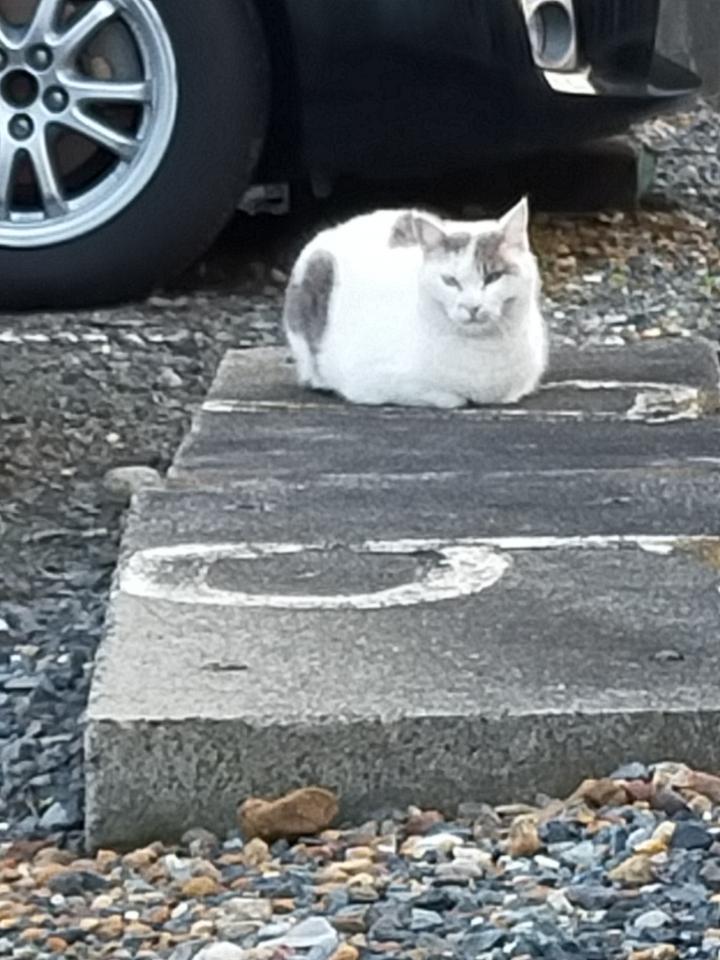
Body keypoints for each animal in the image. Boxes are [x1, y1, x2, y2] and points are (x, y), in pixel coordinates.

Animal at [283, 197, 547, 408]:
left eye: (492, 277)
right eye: (450, 281)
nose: (471, 306)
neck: (483, 353)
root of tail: (338, 227)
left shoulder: (520, 384)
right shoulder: (369, 382)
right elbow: (447, 397)